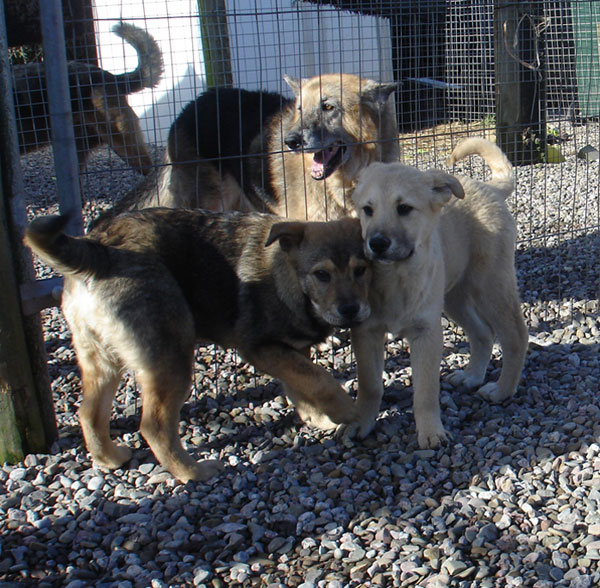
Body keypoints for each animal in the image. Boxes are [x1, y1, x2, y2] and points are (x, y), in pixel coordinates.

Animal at [25, 210, 372, 482]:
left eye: (361, 270)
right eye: (322, 274)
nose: (351, 310)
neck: (287, 277)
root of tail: (99, 249)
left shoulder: (291, 350)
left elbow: (303, 386)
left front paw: (320, 418)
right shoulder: (259, 347)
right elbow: (321, 380)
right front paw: (348, 411)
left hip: (100, 360)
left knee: (89, 413)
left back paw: (109, 457)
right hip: (172, 359)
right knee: (154, 425)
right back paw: (192, 472)